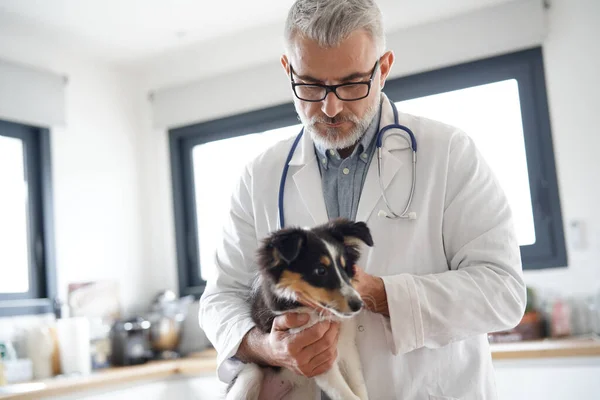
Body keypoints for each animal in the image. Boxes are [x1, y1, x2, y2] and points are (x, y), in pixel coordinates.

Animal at [226, 219, 372, 400]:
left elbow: (359, 385)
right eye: (320, 270)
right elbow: (344, 393)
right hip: (250, 372)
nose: (358, 305)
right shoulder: (316, 356)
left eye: (346, 268)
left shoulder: (348, 348)